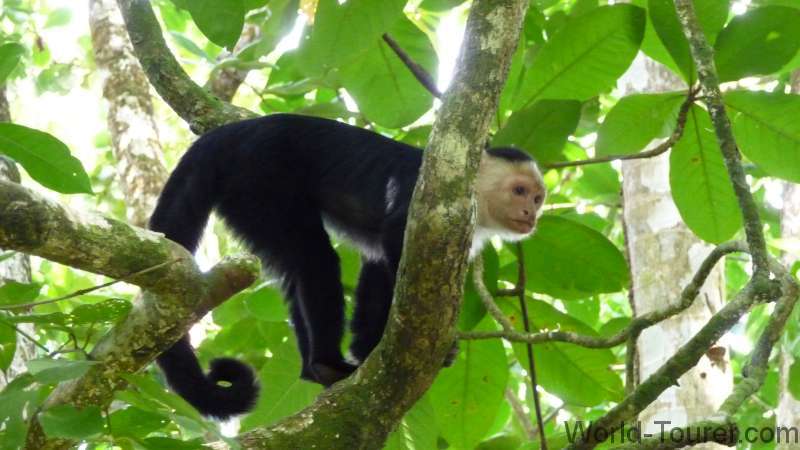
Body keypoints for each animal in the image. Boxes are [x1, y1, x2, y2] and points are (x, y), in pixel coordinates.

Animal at [149, 113, 546, 419]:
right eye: (519, 191)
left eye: (538, 197)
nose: (532, 213)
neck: (472, 187)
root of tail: (238, 130)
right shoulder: (429, 193)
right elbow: (395, 242)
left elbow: (378, 266)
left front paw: (369, 346)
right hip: (259, 178)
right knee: (315, 258)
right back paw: (327, 363)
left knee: (296, 269)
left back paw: (314, 369)